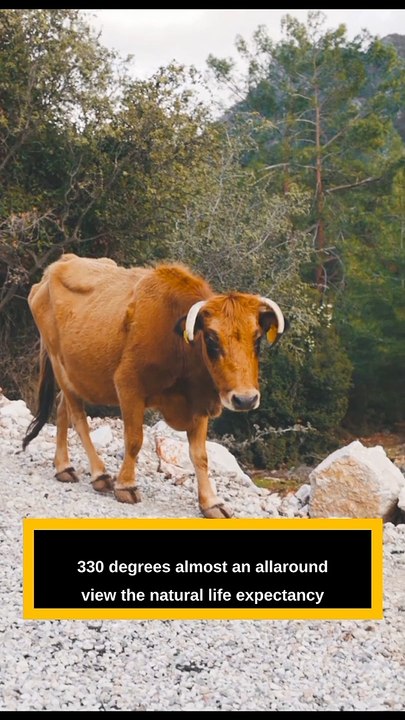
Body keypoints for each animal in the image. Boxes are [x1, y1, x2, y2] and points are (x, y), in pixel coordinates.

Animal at [23, 254, 285, 518]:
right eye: (211, 339)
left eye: (257, 339)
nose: (245, 399)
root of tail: (58, 265)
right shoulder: (128, 385)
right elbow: (134, 439)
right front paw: (126, 485)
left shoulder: (198, 401)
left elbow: (200, 455)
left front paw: (210, 502)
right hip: (59, 363)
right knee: (77, 417)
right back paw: (99, 474)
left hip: (71, 374)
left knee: (61, 408)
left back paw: (63, 467)